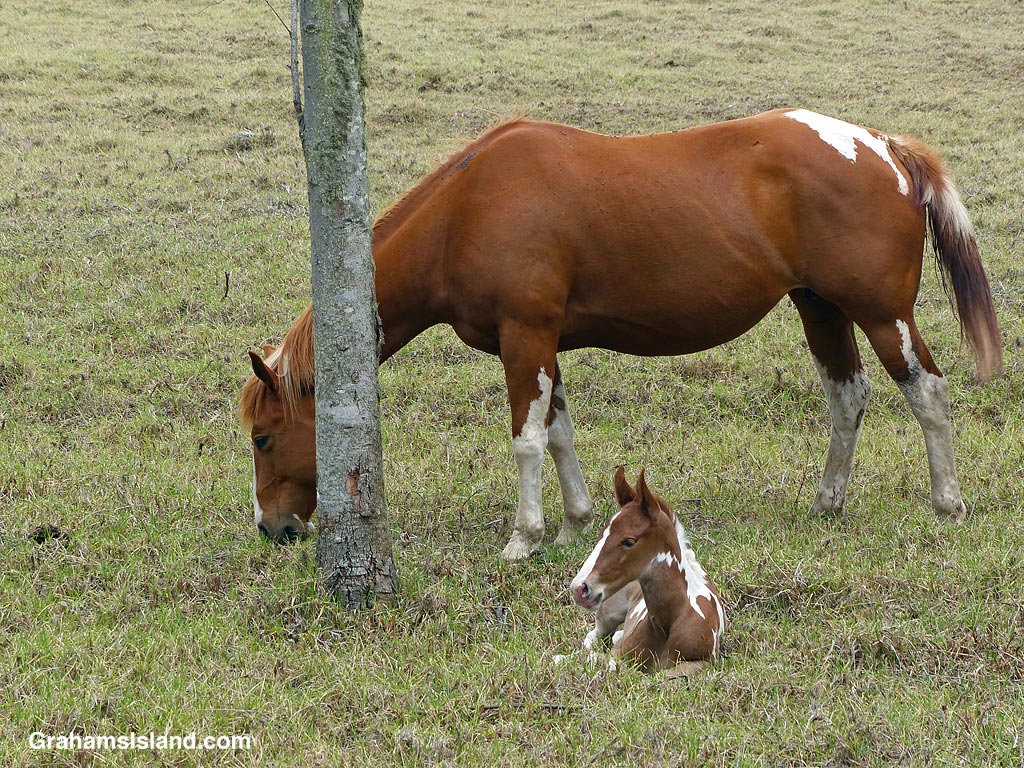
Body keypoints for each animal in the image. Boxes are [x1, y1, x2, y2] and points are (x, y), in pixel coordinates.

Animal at [238, 108, 1002, 556]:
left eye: (264, 437)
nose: (272, 529)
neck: (469, 205)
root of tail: (884, 147)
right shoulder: (542, 344)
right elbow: (559, 433)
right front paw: (576, 520)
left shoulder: (525, 338)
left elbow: (526, 440)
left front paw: (525, 537)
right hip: (819, 308)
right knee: (848, 398)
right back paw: (827, 502)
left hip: (879, 314)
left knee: (927, 394)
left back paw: (948, 503)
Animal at [567, 467, 725, 674]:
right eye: (602, 534)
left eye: (629, 541)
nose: (580, 588)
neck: (667, 624)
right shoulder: (618, 653)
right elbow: (608, 665)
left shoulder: (705, 661)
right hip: (608, 611)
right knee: (593, 637)